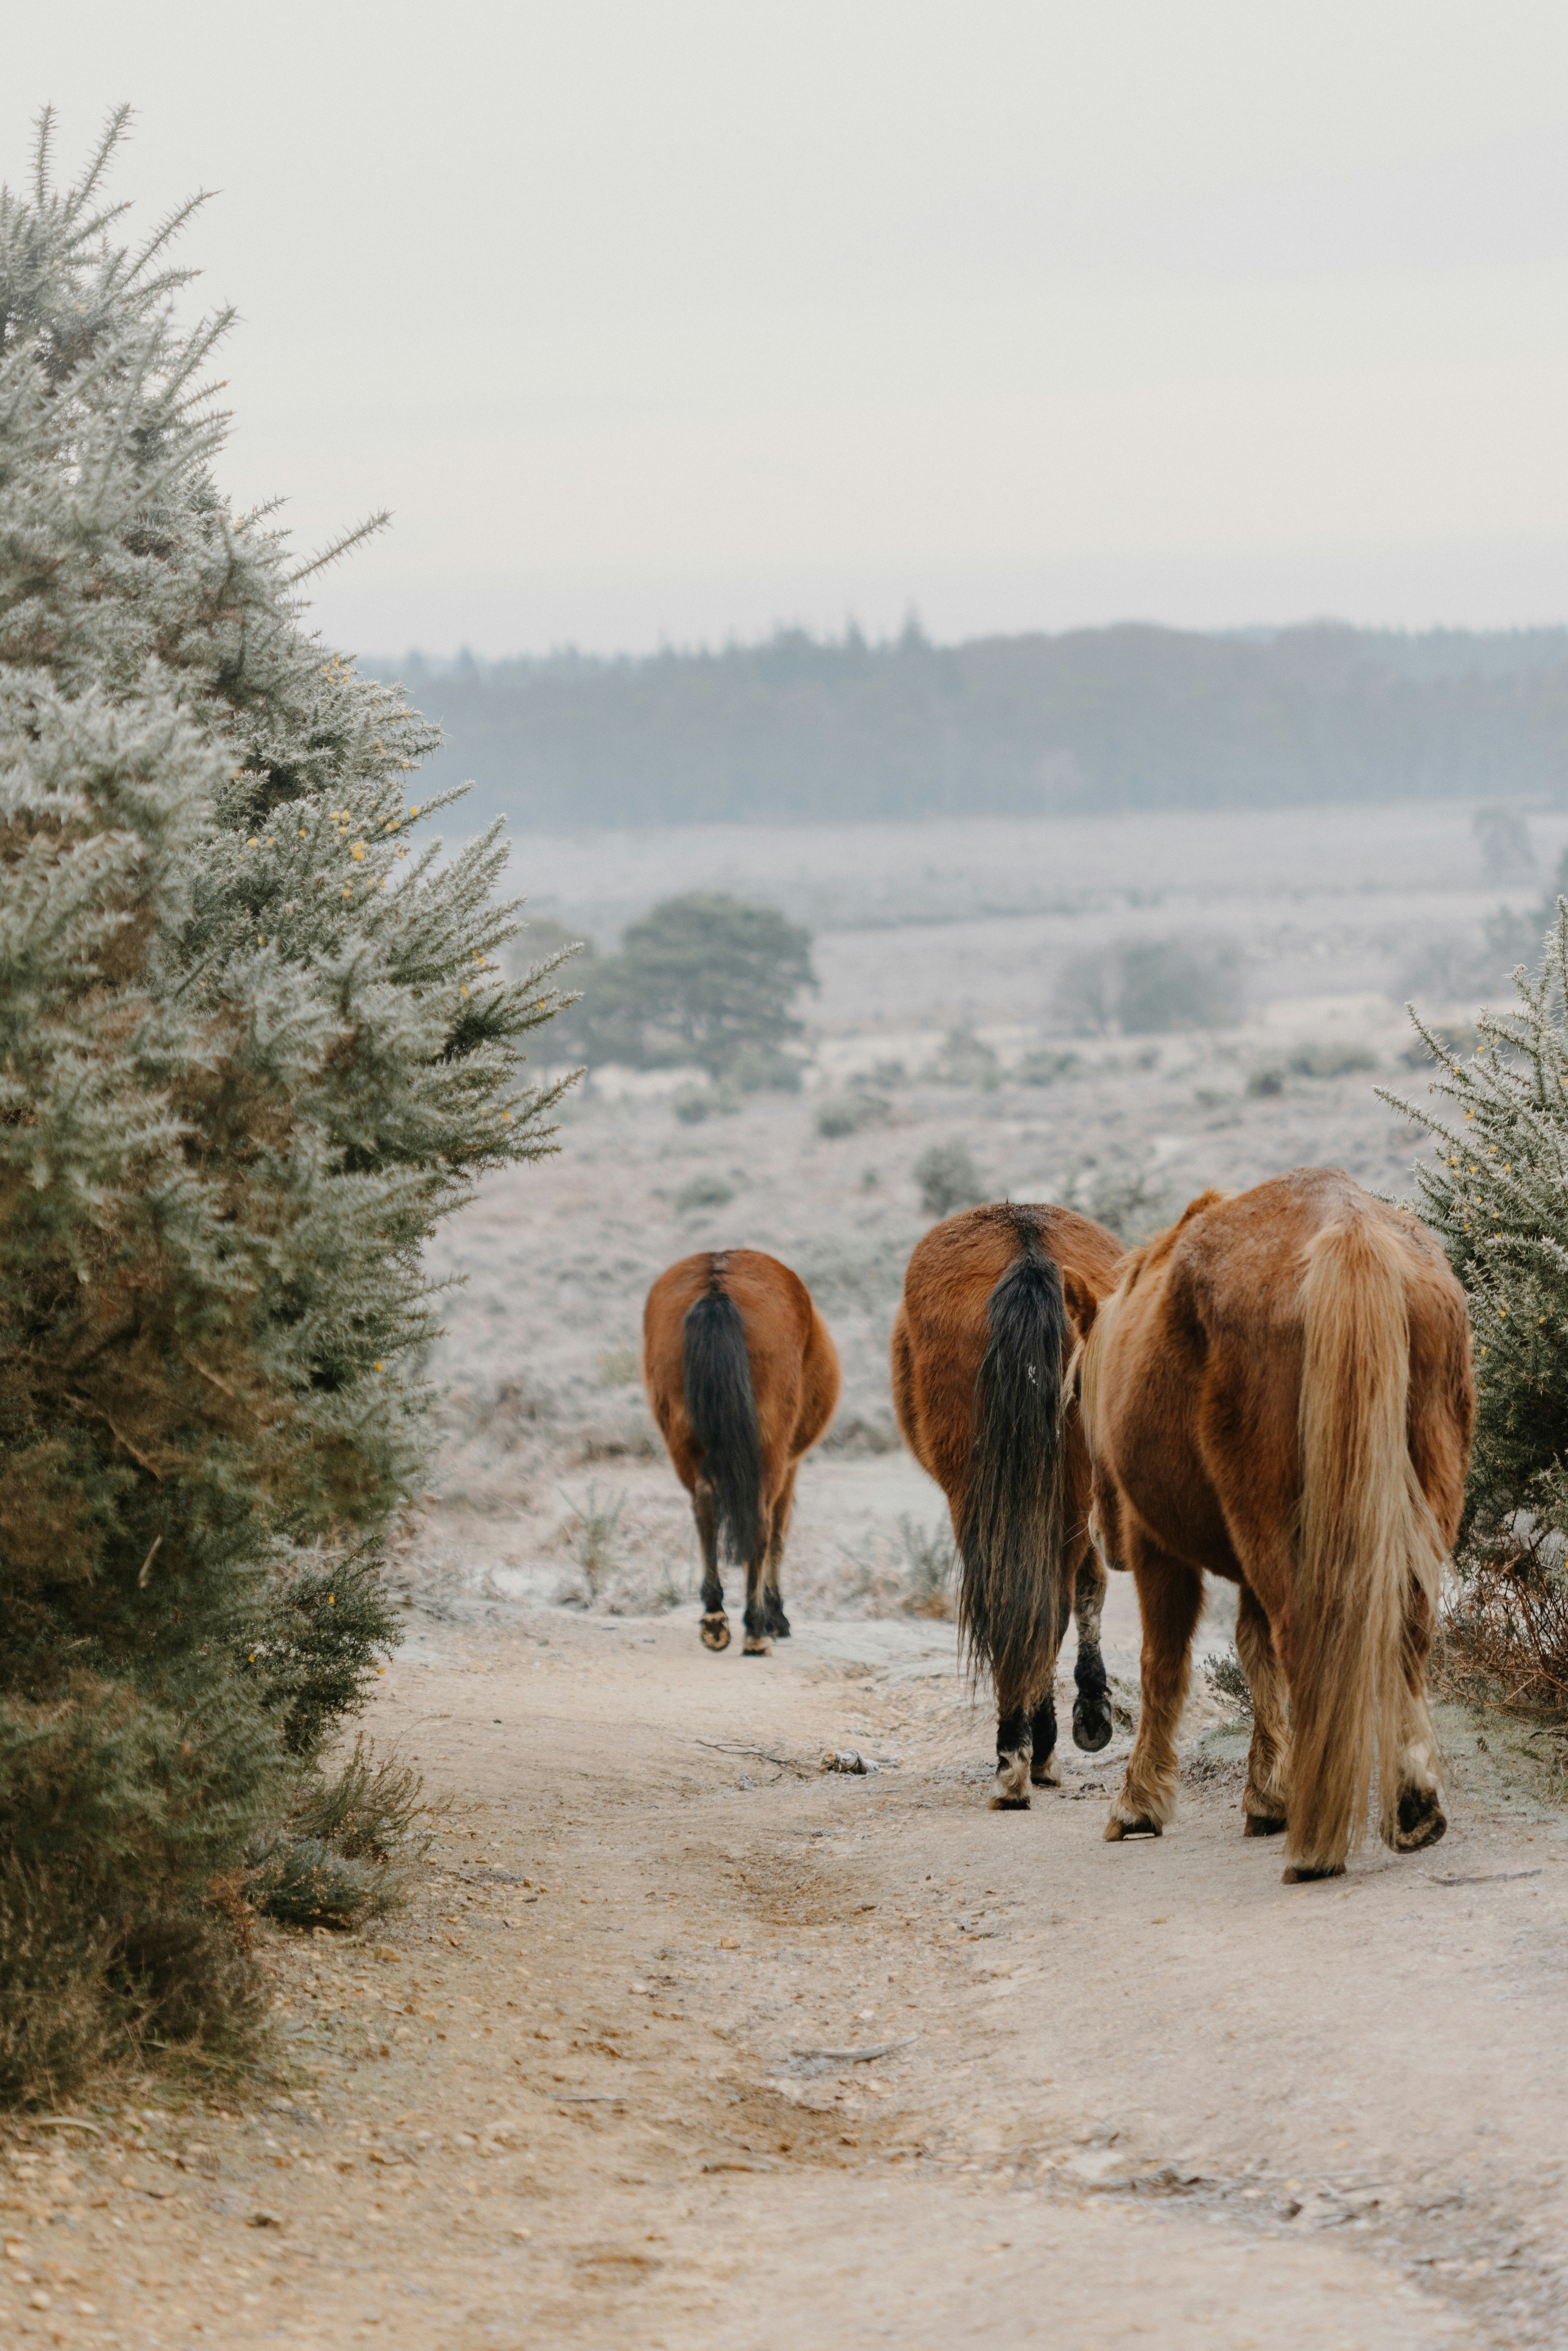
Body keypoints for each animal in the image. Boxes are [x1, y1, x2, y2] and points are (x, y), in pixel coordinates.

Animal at [643, 1247, 840, 1655]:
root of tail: (717, 1284)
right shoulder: (791, 1466)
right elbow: (779, 1536)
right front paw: (777, 1615)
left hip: (685, 1444)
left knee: (704, 1511)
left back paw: (715, 1618)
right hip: (771, 1452)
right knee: (762, 1524)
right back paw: (756, 1627)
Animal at [892, 1199, 1128, 1807]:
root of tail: (1027, 1249)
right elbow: (1087, 1588)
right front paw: (1090, 1711)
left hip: (980, 1495)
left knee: (1016, 1599)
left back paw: (1014, 1753)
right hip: (1062, 1492)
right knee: (1043, 1601)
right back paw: (1028, 1752)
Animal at [1069, 1168, 1474, 1882]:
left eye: (1070, 1394)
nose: (1098, 1534)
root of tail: (1348, 1229)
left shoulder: (1157, 1548)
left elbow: (1163, 1667)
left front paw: (1139, 1801)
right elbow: (1255, 1657)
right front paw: (1269, 1793)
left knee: (1307, 1637)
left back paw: (1315, 1845)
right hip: (1415, 1500)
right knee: (1406, 1627)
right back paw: (1411, 1806)